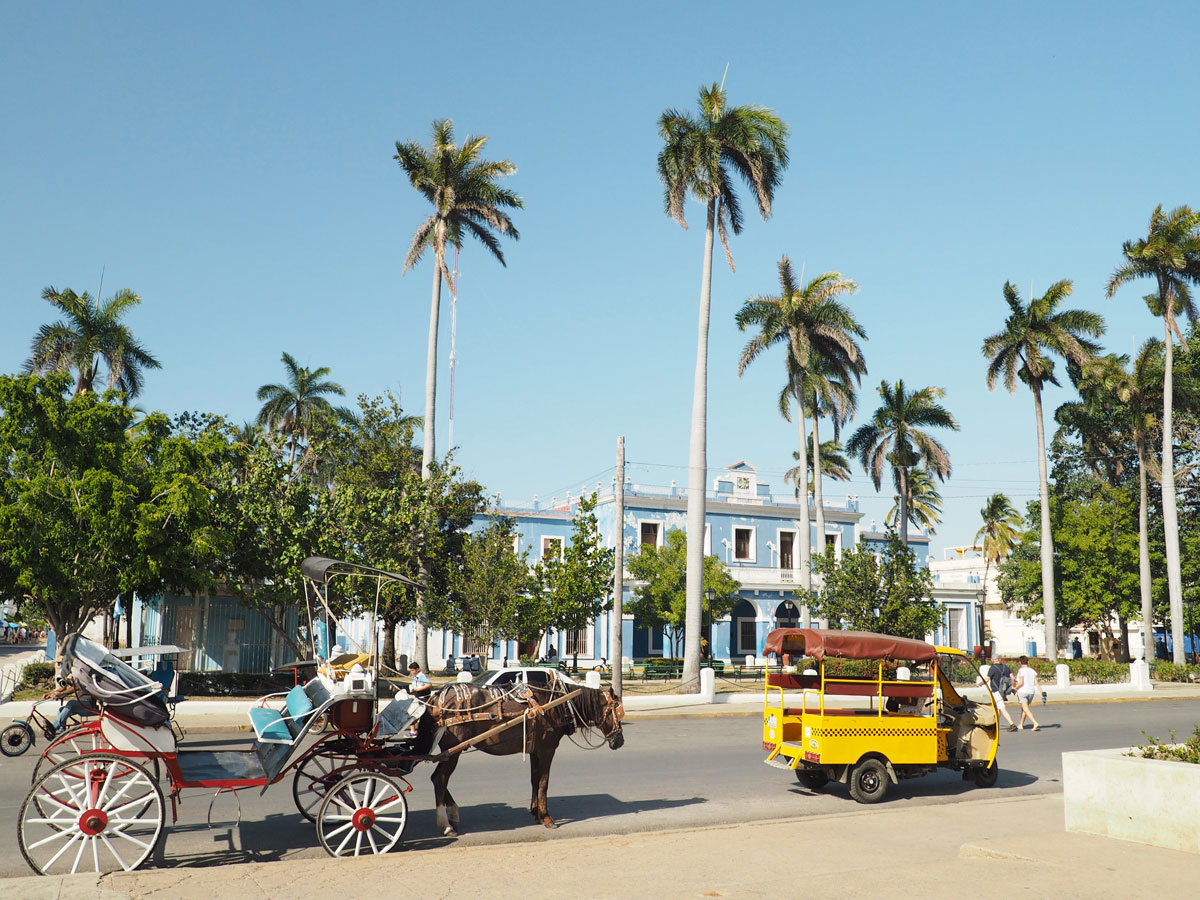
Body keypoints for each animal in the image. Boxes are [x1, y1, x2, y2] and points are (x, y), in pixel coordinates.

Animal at [412, 681, 624, 840]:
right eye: (617, 711)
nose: (619, 741)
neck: (559, 704)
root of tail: (437, 698)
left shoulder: (535, 751)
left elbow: (534, 780)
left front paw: (535, 813)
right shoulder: (547, 750)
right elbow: (544, 783)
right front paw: (547, 818)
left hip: (451, 751)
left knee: (437, 778)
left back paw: (453, 813)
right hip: (454, 750)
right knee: (440, 779)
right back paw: (446, 825)